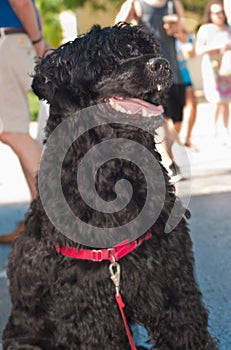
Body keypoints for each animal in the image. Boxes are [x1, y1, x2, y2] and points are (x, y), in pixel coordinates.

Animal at [2, 23, 217, 348]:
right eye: (105, 60)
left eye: (144, 49)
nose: (162, 64)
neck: (116, 178)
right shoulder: (91, 310)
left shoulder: (173, 286)